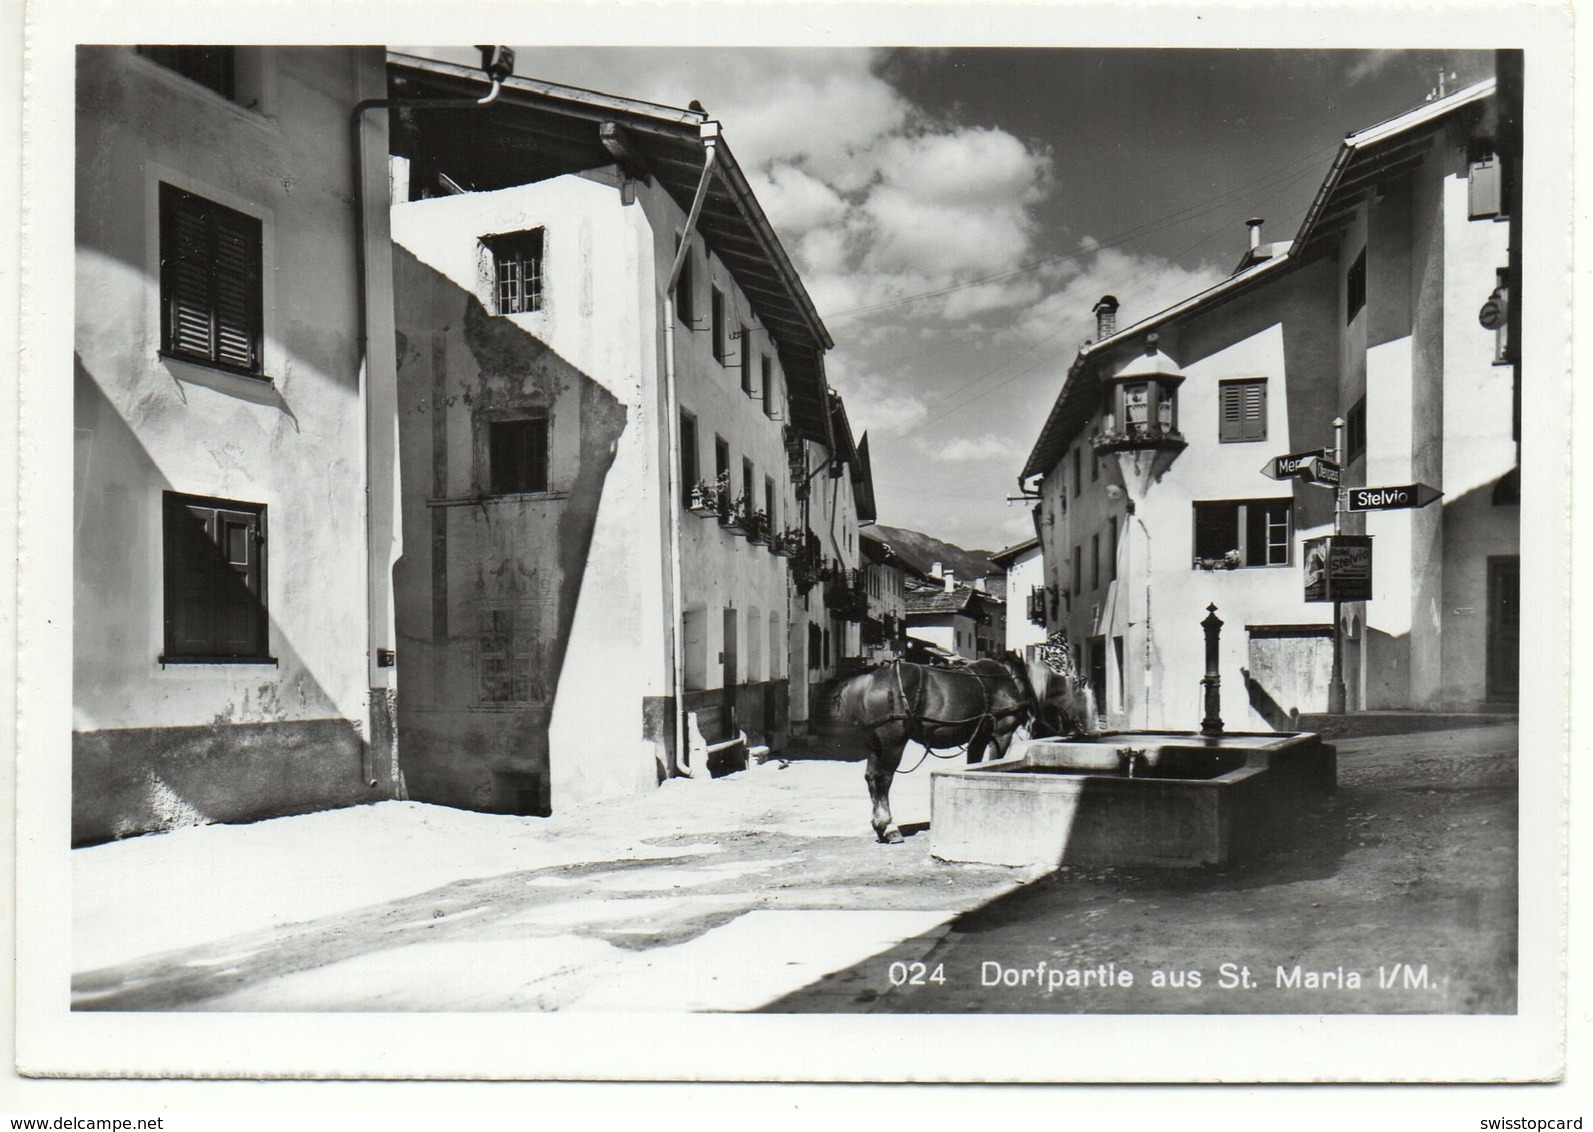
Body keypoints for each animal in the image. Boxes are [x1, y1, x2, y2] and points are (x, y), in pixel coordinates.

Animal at [834, 649, 1045, 847]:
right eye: (1026, 678)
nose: (1034, 718)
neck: (1002, 678)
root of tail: (871, 679)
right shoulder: (1001, 735)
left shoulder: (978, 738)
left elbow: (973, 766)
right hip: (892, 742)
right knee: (883, 778)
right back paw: (889, 827)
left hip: (875, 744)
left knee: (871, 777)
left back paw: (880, 826)